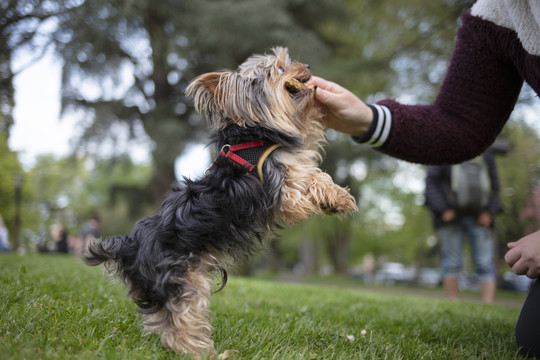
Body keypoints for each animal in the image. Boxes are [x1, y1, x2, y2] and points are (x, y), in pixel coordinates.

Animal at [84, 47, 356, 358]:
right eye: (278, 68)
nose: (308, 66)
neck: (256, 136)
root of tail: (129, 246)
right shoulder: (282, 190)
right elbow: (308, 179)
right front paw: (338, 199)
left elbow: (311, 162)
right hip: (182, 282)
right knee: (180, 325)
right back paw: (207, 354)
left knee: (164, 323)